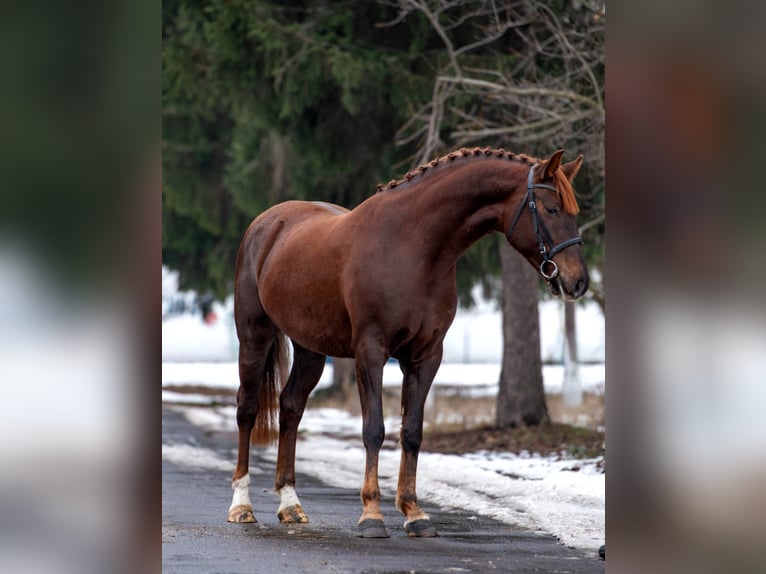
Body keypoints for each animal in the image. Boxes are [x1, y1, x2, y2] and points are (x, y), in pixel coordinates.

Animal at [227, 146, 589, 538]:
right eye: (551, 209)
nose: (579, 282)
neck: (412, 248)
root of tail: (266, 223)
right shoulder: (371, 352)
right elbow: (374, 430)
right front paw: (372, 515)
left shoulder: (425, 356)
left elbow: (412, 431)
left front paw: (414, 512)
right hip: (254, 335)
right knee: (247, 409)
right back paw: (242, 506)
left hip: (311, 349)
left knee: (291, 407)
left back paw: (290, 505)